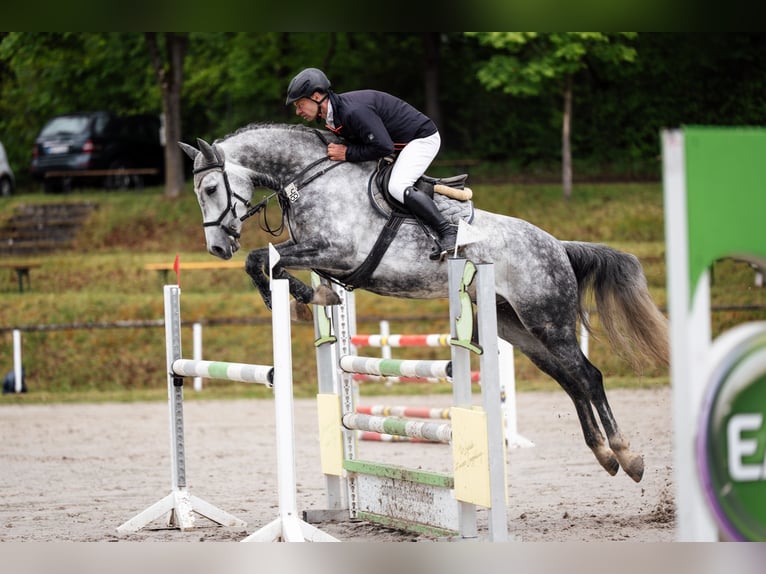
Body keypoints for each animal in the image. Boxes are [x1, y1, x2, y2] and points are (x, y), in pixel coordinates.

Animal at [179, 122, 669, 483]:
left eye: (210, 189)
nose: (217, 248)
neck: (311, 177)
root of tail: (557, 245)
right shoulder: (319, 253)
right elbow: (265, 262)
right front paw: (313, 295)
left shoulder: (336, 250)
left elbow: (264, 258)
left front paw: (308, 295)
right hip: (520, 329)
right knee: (569, 380)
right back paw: (605, 456)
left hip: (548, 320)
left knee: (589, 376)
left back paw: (627, 456)